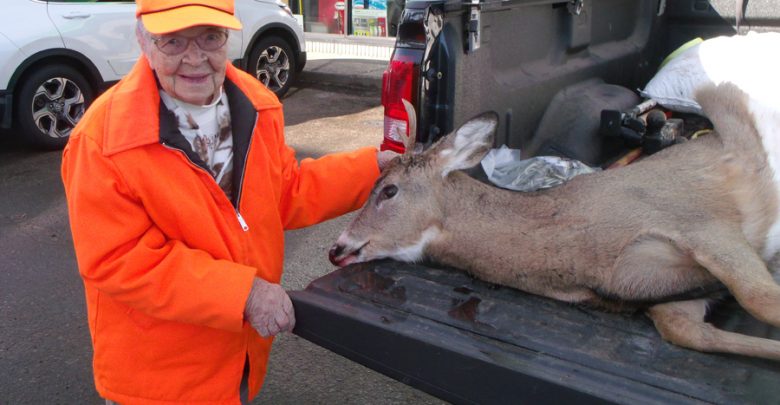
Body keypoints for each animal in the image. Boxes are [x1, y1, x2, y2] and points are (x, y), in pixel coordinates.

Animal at [330, 83, 780, 360]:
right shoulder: (668, 295)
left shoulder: (700, 221)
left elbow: (761, 300)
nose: (336, 247)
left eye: (389, 191)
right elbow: (686, 329)